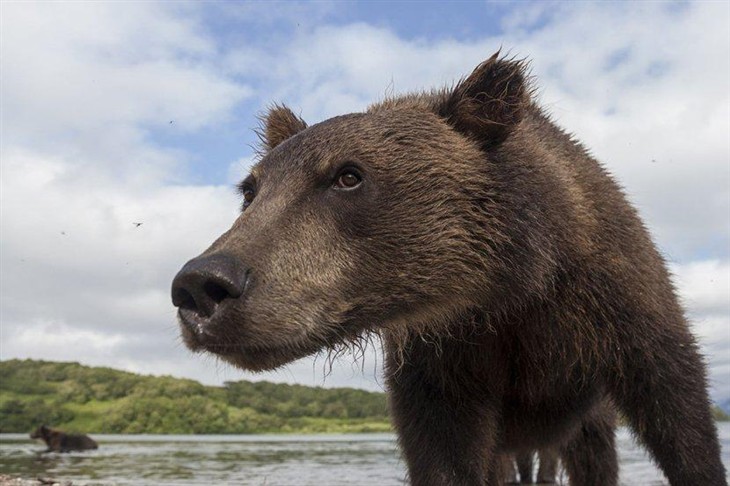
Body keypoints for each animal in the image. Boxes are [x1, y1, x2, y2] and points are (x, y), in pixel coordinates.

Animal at [171, 51, 724, 484]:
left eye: (348, 176)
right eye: (250, 190)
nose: (201, 285)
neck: (509, 288)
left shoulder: (613, 302)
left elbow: (679, 410)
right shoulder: (445, 365)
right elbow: (443, 453)